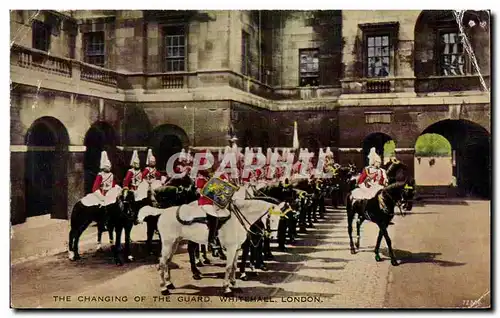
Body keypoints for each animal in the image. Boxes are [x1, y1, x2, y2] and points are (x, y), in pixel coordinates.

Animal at [139, 199, 290, 296]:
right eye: (270, 219)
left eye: (280, 219)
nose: (272, 236)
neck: (238, 219)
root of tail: (163, 211)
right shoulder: (231, 249)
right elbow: (228, 267)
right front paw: (227, 289)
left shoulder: (236, 249)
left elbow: (234, 266)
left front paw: (234, 284)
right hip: (168, 243)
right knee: (162, 263)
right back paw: (164, 288)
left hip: (175, 243)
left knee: (167, 263)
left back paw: (169, 283)